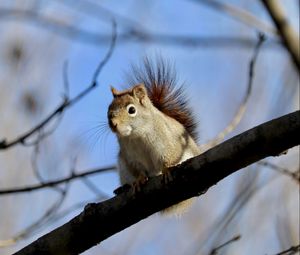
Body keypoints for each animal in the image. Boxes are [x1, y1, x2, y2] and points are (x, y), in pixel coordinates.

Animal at [106, 58, 200, 215]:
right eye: (109, 109)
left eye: (132, 110)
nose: (113, 124)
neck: (136, 135)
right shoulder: (130, 156)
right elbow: (138, 169)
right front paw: (139, 180)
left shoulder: (168, 140)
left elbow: (169, 156)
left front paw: (167, 169)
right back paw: (123, 188)